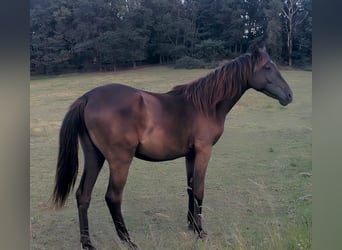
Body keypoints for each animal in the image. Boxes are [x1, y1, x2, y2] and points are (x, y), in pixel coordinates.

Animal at [50, 46, 292, 248]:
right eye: (268, 67)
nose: (289, 96)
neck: (204, 105)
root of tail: (88, 97)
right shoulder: (204, 151)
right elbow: (200, 189)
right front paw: (201, 232)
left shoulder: (191, 154)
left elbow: (190, 187)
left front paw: (192, 225)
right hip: (120, 161)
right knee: (113, 197)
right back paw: (129, 241)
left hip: (95, 156)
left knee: (83, 195)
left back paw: (87, 243)